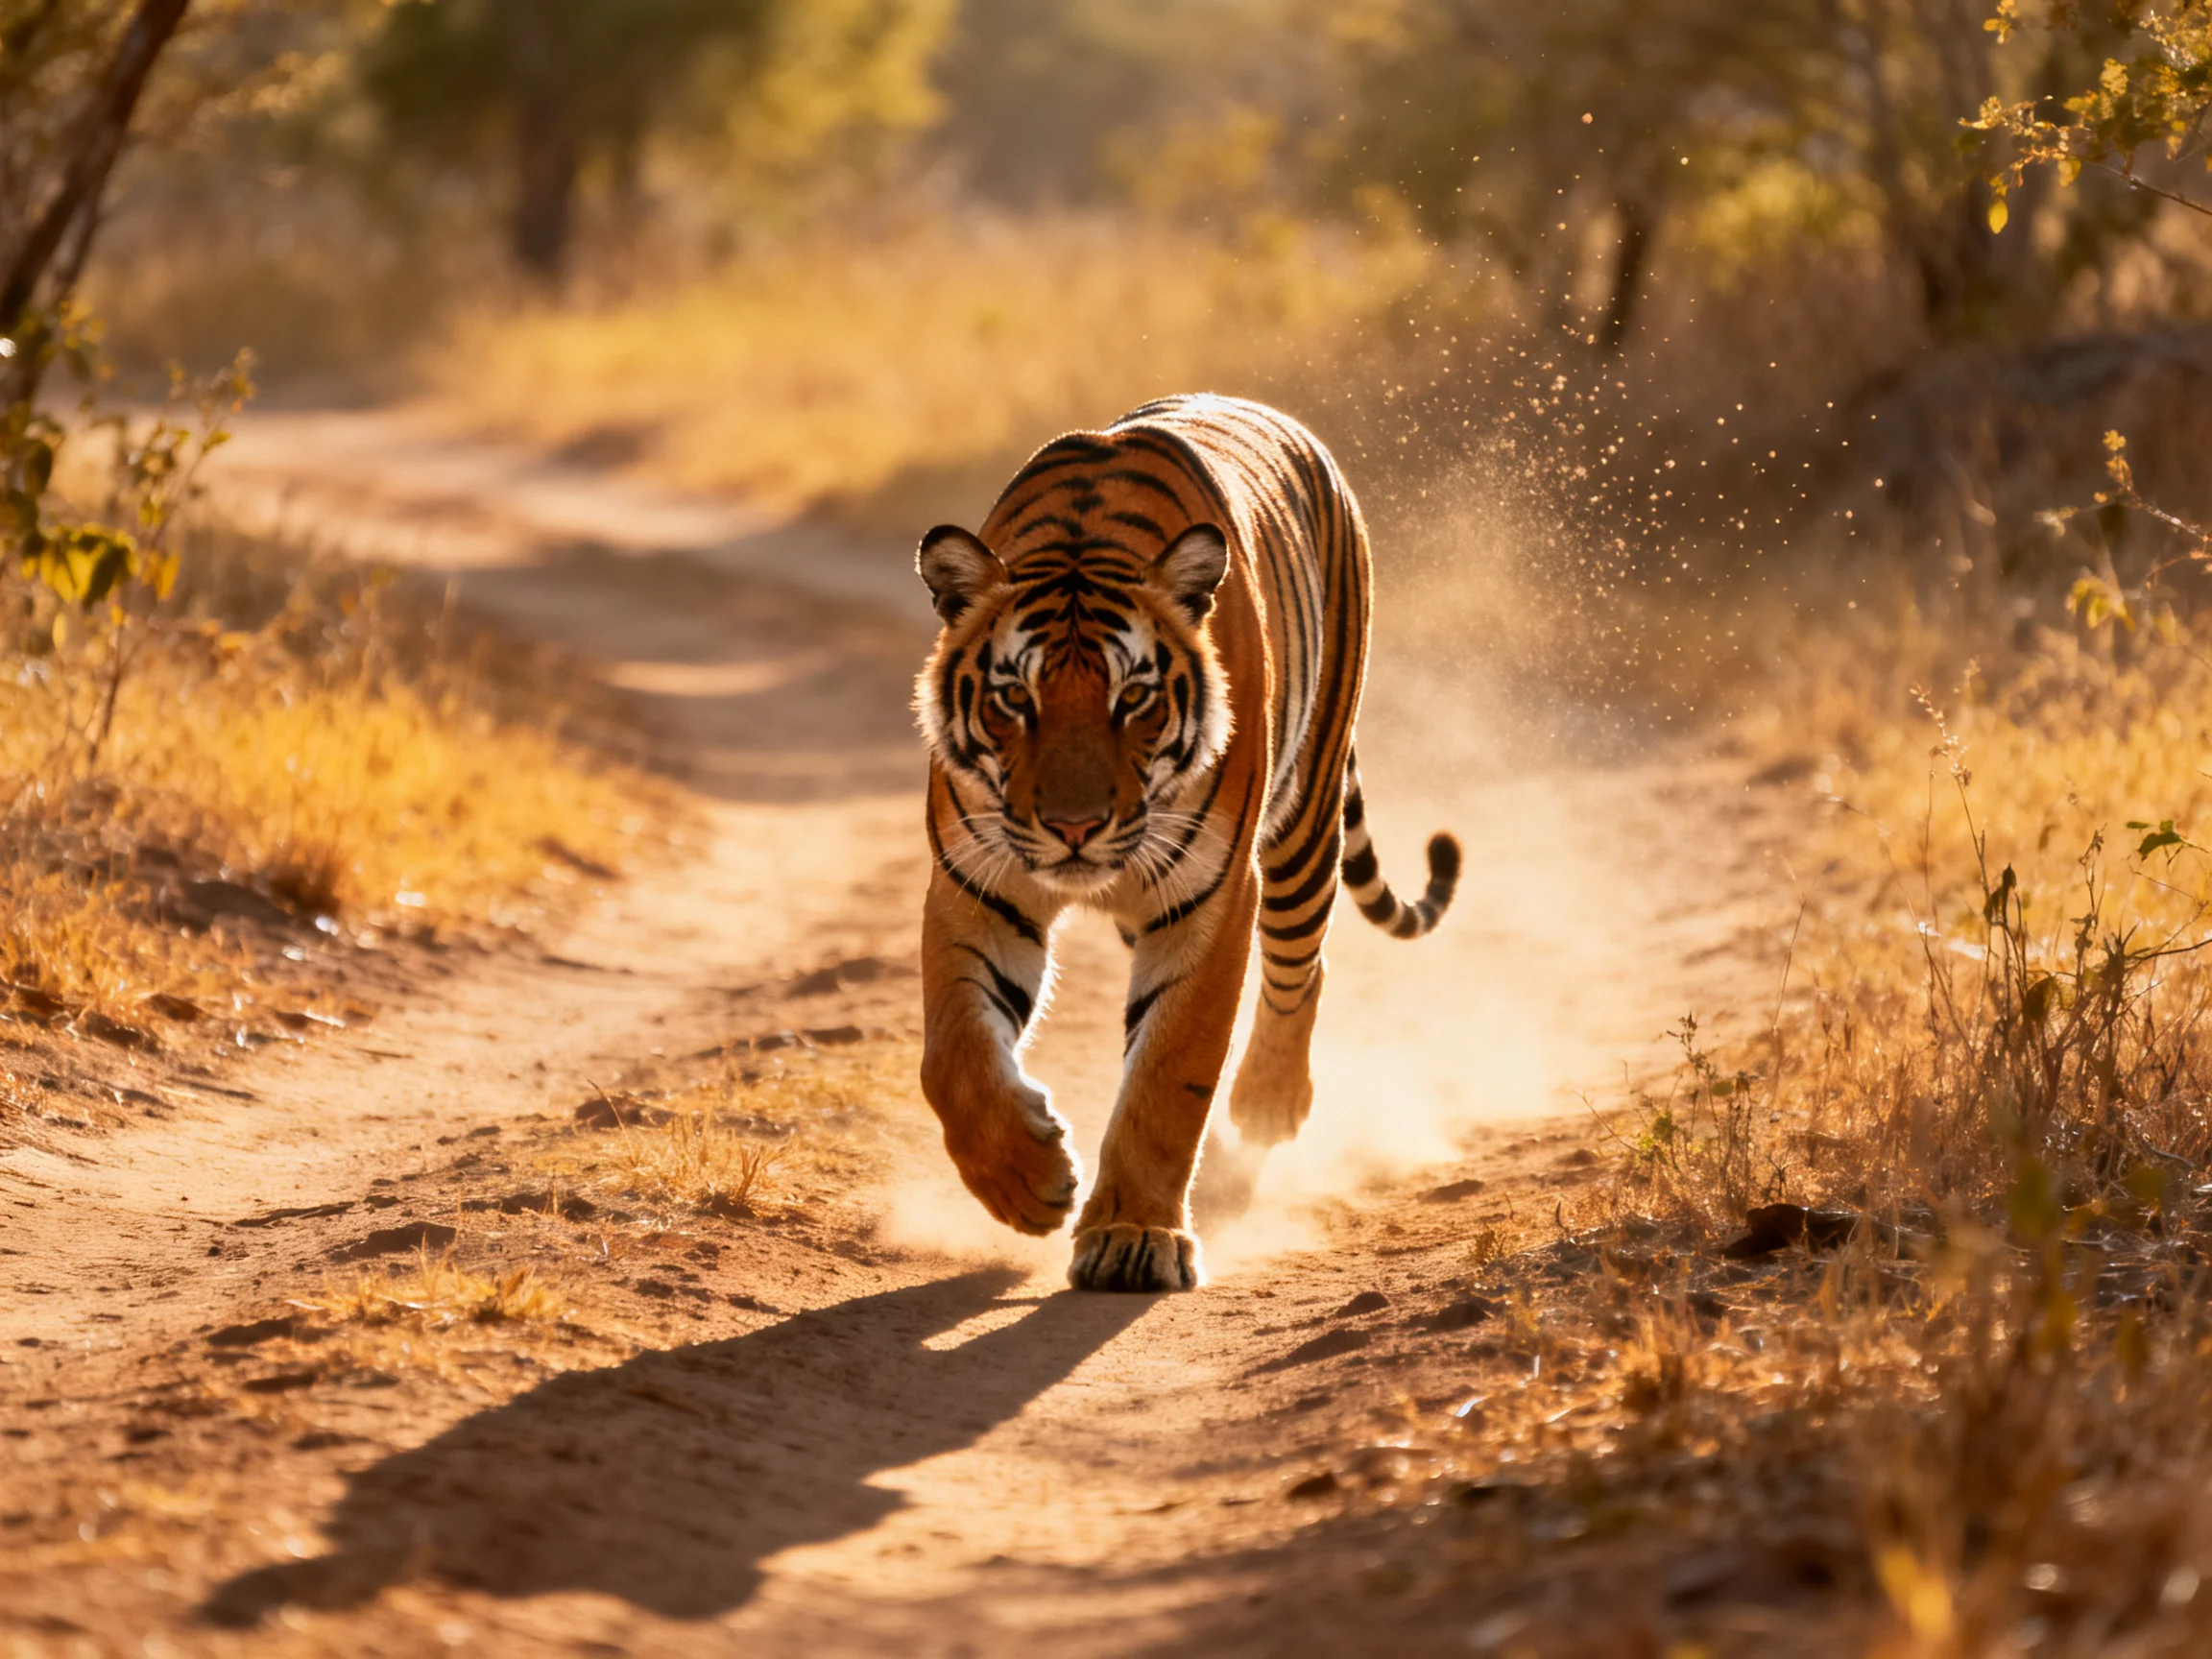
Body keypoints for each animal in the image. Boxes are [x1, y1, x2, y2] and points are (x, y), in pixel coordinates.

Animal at [913, 393, 1459, 1293]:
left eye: (1132, 698)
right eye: (1015, 698)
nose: (1073, 828)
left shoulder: (1211, 894)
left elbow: (1171, 1070)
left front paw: (1134, 1237)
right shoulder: (978, 880)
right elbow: (953, 1056)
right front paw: (1029, 1181)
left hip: (1305, 819)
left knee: (1302, 965)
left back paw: (1266, 1107)